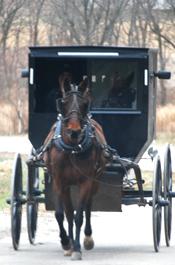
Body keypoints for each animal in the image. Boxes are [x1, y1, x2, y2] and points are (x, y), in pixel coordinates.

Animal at [43, 75, 108, 258]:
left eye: (84, 103)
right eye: (63, 102)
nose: (74, 131)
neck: (71, 149)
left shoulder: (86, 182)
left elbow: (79, 215)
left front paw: (78, 247)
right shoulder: (58, 182)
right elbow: (61, 214)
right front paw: (66, 243)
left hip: (95, 181)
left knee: (87, 207)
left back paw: (86, 238)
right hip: (66, 186)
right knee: (68, 212)